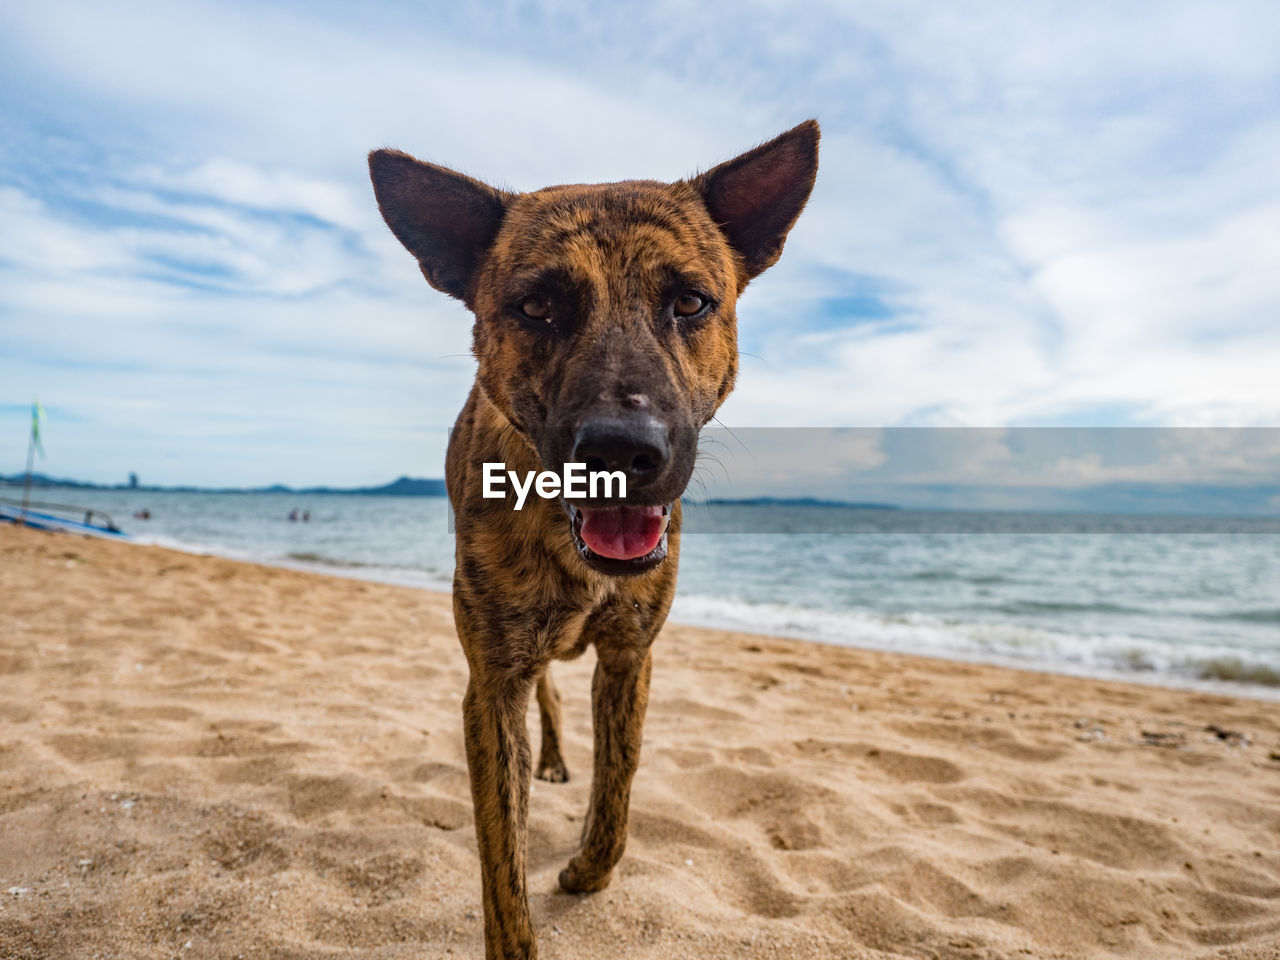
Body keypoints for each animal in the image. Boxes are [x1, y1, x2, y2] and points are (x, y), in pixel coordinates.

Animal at [368, 124, 819, 957]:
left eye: (689, 301)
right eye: (537, 305)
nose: (621, 451)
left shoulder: (629, 657)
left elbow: (618, 798)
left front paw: (583, 870)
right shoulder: (492, 684)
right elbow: (502, 867)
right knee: (545, 691)